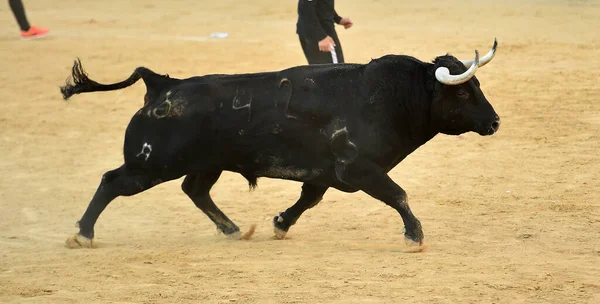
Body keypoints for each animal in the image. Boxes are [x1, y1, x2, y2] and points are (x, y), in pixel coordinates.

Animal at [59, 39, 502, 249]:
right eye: (465, 92)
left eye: (478, 85)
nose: (495, 122)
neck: (390, 98)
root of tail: (162, 85)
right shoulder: (358, 169)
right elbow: (399, 195)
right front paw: (414, 236)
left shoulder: (327, 173)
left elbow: (307, 200)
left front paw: (278, 224)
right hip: (151, 165)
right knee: (112, 182)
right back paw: (83, 234)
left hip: (204, 163)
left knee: (195, 190)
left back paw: (233, 230)